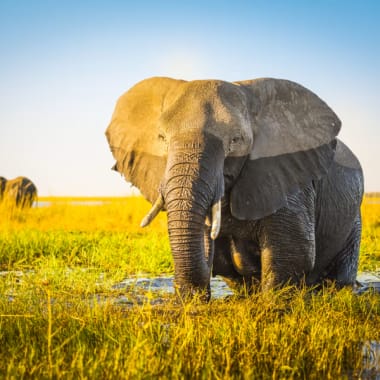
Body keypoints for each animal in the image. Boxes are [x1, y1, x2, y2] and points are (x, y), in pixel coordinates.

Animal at [105, 77, 364, 302]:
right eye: (161, 138)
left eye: (236, 140)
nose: (190, 296)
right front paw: (191, 302)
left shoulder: (286, 173)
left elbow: (293, 252)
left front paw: (272, 304)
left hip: (353, 220)